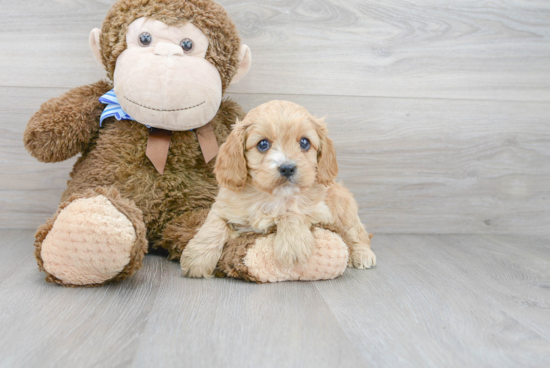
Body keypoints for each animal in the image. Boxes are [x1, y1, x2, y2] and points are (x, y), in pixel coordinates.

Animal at [183, 99, 378, 278]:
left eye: (305, 142)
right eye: (263, 144)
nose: (287, 168)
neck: (271, 197)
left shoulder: (319, 210)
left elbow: (291, 213)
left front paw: (293, 246)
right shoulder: (223, 207)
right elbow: (213, 226)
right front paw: (197, 259)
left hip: (343, 209)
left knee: (357, 233)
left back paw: (362, 255)